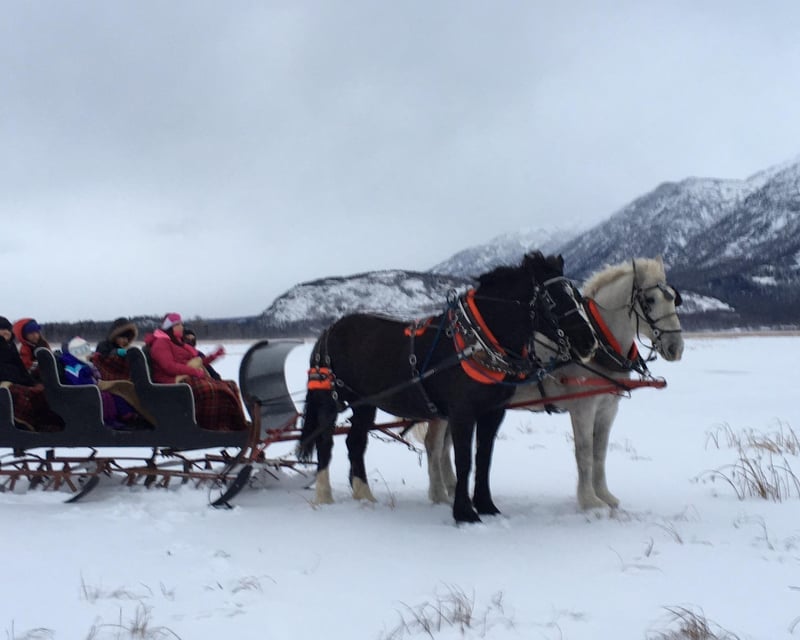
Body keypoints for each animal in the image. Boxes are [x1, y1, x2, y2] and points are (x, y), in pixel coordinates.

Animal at [298, 251, 599, 523]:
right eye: (552, 299)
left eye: (576, 294)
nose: (589, 342)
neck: (477, 342)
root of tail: (329, 330)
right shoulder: (462, 413)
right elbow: (464, 460)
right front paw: (465, 513)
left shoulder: (493, 412)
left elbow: (483, 459)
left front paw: (486, 505)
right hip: (330, 398)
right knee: (325, 441)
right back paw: (324, 495)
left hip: (365, 403)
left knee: (355, 442)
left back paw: (364, 495)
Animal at [423, 256, 684, 510]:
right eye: (649, 300)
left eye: (674, 299)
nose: (676, 348)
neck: (601, 346)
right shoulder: (583, 408)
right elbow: (584, 453)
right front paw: (589, 501)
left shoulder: (608, 409)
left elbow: (600, 453)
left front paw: (605, 496)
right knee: (433, 444)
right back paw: (439, 494)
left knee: (444, 447)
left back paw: (450, 487)